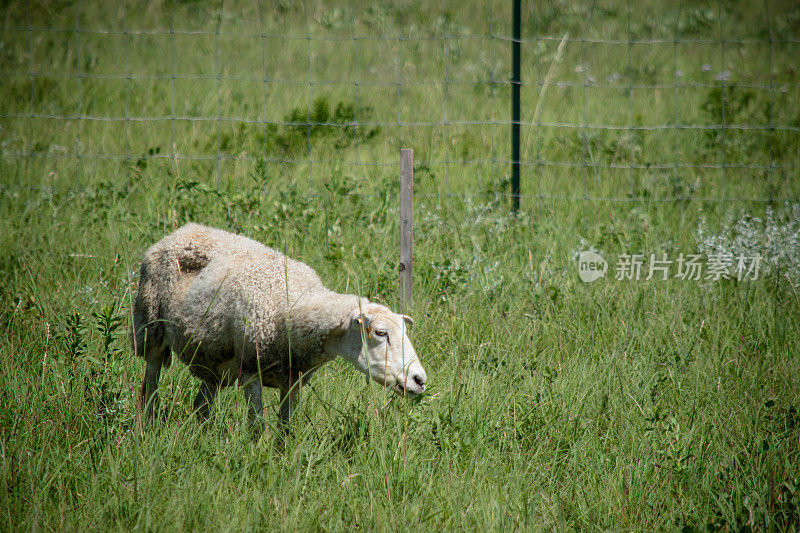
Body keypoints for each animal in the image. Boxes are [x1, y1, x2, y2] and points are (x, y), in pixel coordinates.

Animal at [131, 222, 428, 422]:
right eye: (380, 333)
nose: (420, 380)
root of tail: (183, 229)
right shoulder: (250, 369)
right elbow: (257, 426)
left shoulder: (293, 379)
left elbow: (286, 429)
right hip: (150, 328)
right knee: (150, 384)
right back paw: (148, 424)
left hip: (213, 358)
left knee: (201, 404)